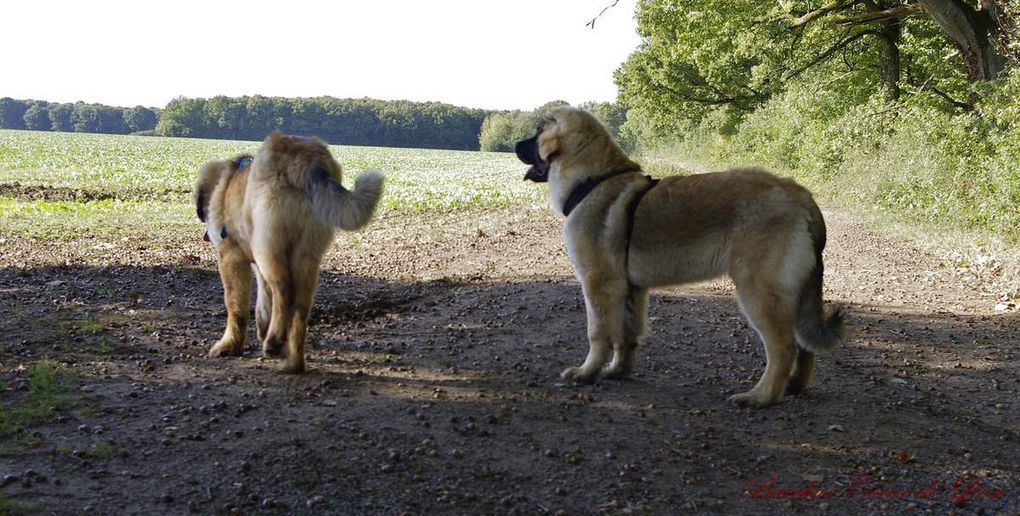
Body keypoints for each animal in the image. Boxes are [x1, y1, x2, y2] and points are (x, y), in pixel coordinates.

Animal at [192, 130, 383, 373]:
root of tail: (309, 160)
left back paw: (274, 341)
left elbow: (236, 307)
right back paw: (292, 360)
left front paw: (229, 345)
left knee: (284, 288)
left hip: (268, 245)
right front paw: (262, 328)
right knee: (300, 305)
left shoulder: (231, 259)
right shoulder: (258, 268)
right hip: (305, 252)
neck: (224, 185)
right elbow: (264, 302)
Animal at [518, 107, 844, 407]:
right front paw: (617, 371)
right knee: (803, 345)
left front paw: (586, 372)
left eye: (537, 132)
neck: (592, 180)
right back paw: (793, 386)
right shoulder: (630, 289)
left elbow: (598, 333)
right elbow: (627, 335)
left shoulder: (599, 283)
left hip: (759, 291)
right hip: (792, 293)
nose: (517, 145)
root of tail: (798, 193)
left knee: (784, 348)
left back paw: (760, 397)